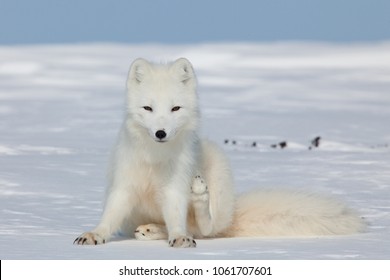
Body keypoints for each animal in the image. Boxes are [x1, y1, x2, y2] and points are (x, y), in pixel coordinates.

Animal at [74, 57, 366, 247]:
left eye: (175, 108)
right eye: (148, 108)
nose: (161, 133)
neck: (155, 159)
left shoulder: (175, 187)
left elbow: (179, 220)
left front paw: (179, 237)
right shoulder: (123, 185)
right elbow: (110, 215)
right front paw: (94, 234)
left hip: (216, 165)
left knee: (205, 228)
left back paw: (197, 198)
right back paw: (150, 229)